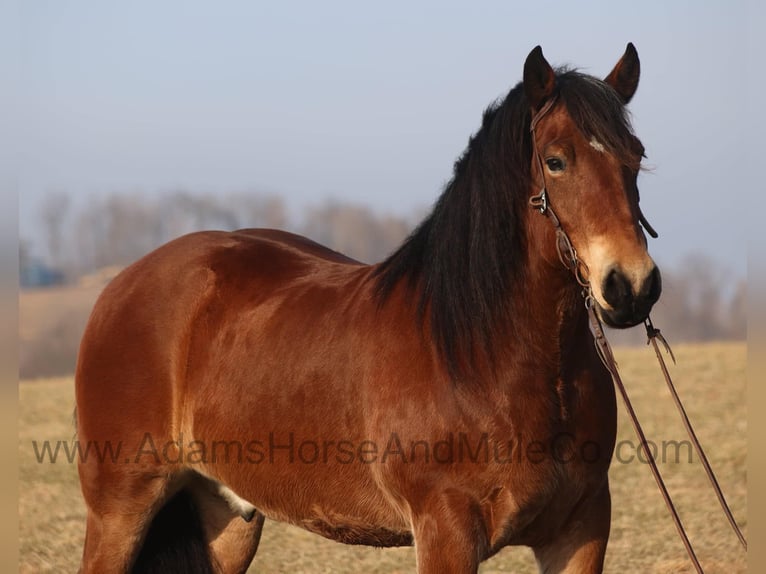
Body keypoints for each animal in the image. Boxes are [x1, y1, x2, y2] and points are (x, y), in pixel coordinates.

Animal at [76, 45, 660, 574]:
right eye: (556, 161)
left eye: (636, 156)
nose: (631, 285)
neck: (484, 355)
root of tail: (118, 287)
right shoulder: (446, 533)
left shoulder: (580, 531)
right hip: (120, 510)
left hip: (226, 518)